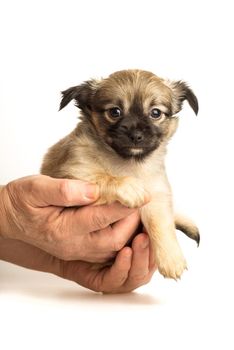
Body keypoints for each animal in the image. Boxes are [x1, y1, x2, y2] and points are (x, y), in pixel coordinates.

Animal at [40, 69, 199, 280]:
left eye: (155, 113)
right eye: (115, 112)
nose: (136, 135)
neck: (127, 163)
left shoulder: (157, 193)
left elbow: (161, 223)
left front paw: (171, 258)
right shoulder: (73, 173)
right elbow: (104, 177)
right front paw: (129, 186)